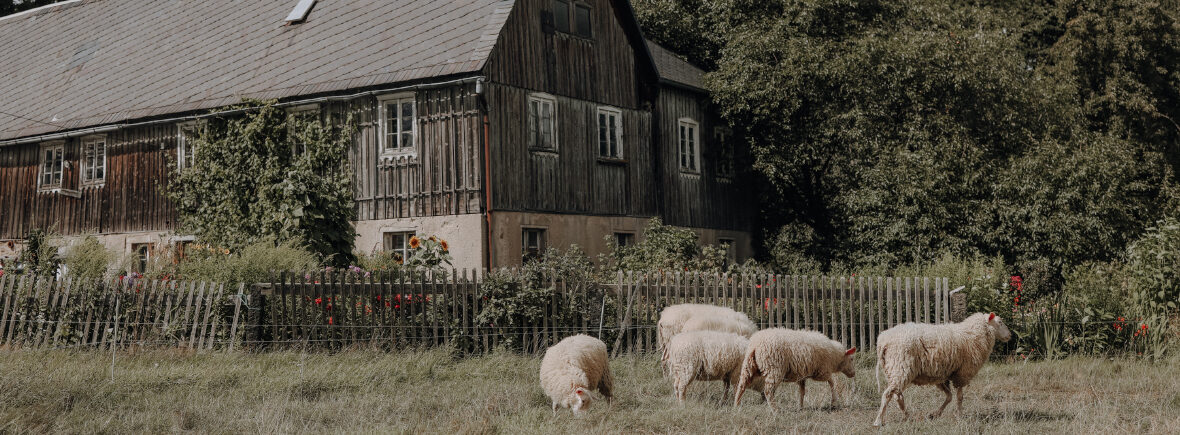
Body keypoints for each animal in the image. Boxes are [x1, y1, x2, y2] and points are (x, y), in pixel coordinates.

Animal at [877, 311, 1014, 424]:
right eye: (1000, 322)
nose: (1010, 335)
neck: (974, 334)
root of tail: (883, 340)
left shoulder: (943, 375)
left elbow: (949, 396)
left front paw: (935, 414)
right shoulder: (962, 374)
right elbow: (959, 397)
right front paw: (959, 416)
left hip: (893, 370)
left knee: (897, 396)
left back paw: (906, 417)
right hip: (901, 368)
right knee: (888, 394)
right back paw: (878, 421)